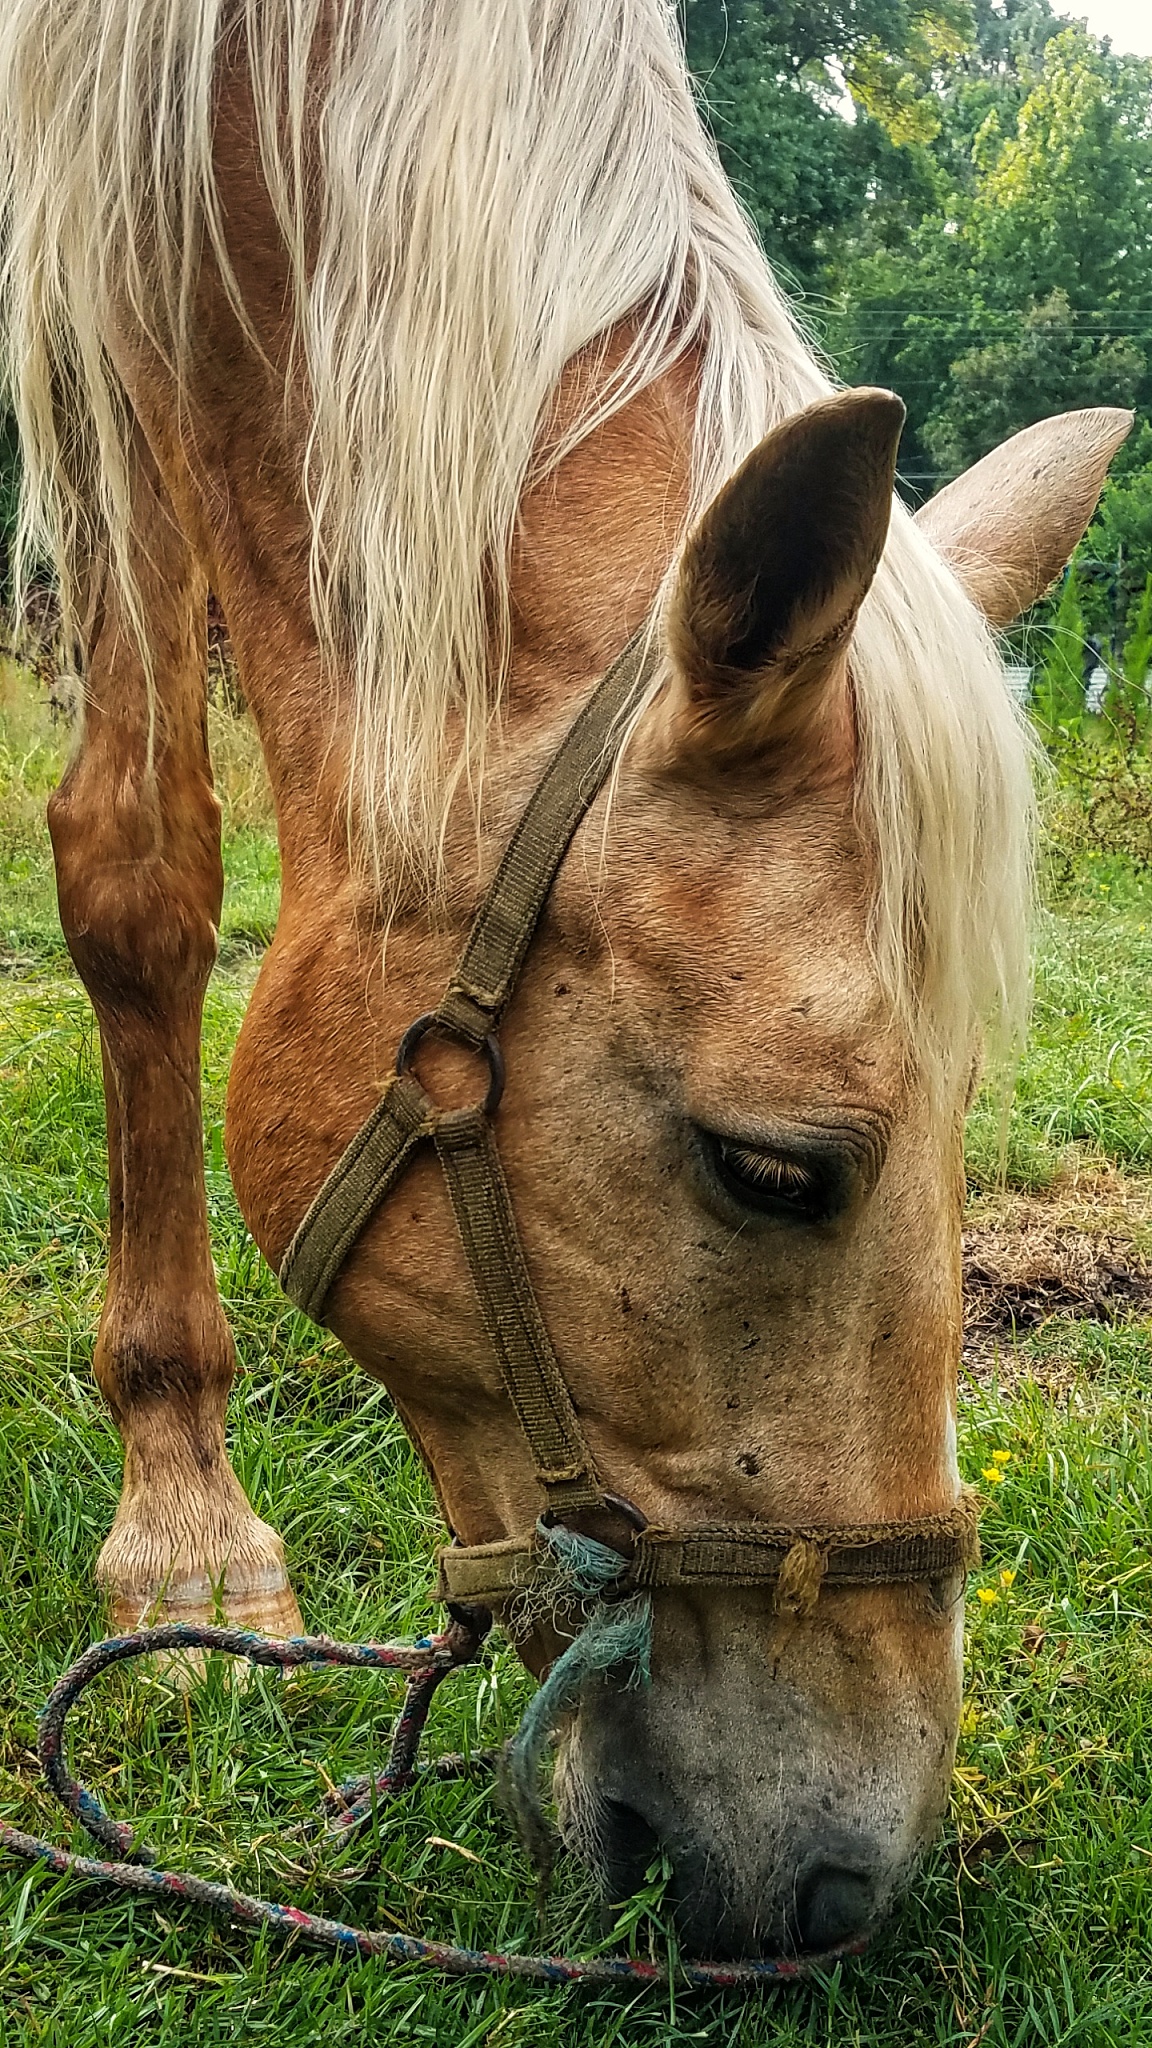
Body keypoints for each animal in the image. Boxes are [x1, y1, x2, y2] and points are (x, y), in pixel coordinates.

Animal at [0, 0, 1130, 1961]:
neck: (254, 85)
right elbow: (137, 863)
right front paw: (184, 1525)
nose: (847, 1880)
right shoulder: (101, 283)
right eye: (772, 1168)